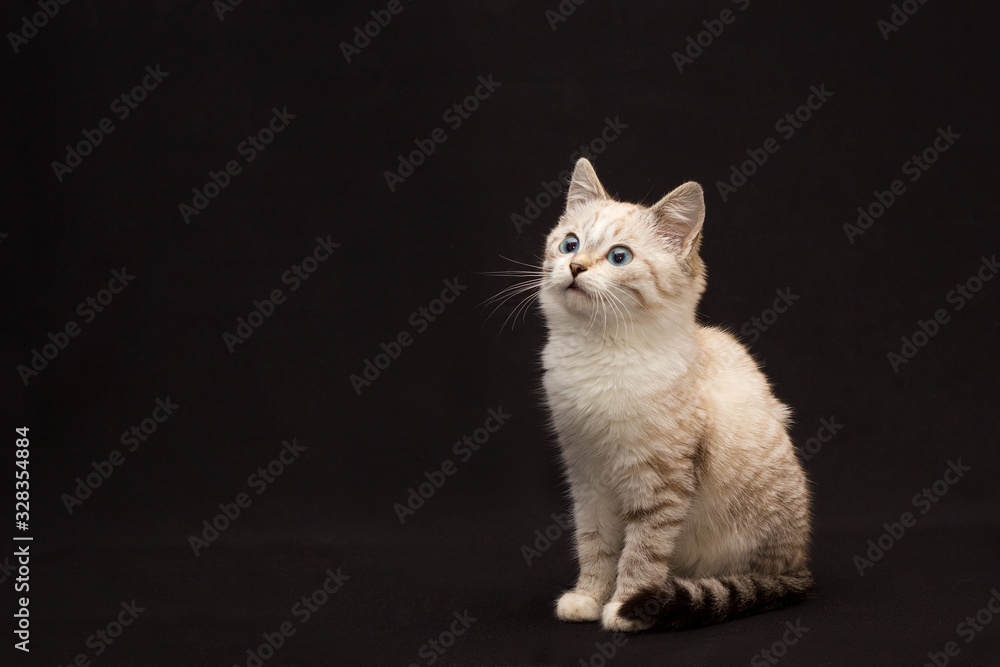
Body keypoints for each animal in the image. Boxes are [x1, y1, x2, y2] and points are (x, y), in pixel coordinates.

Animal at [540, 157, 812, 632]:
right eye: (570, 245)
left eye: (619, 257)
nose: (575, 268)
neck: (598, 352)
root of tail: (801, 567)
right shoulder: (587, 478)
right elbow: (595, 546)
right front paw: (587, 598)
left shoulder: (658, 482)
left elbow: (641, 554)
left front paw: (625, 607)